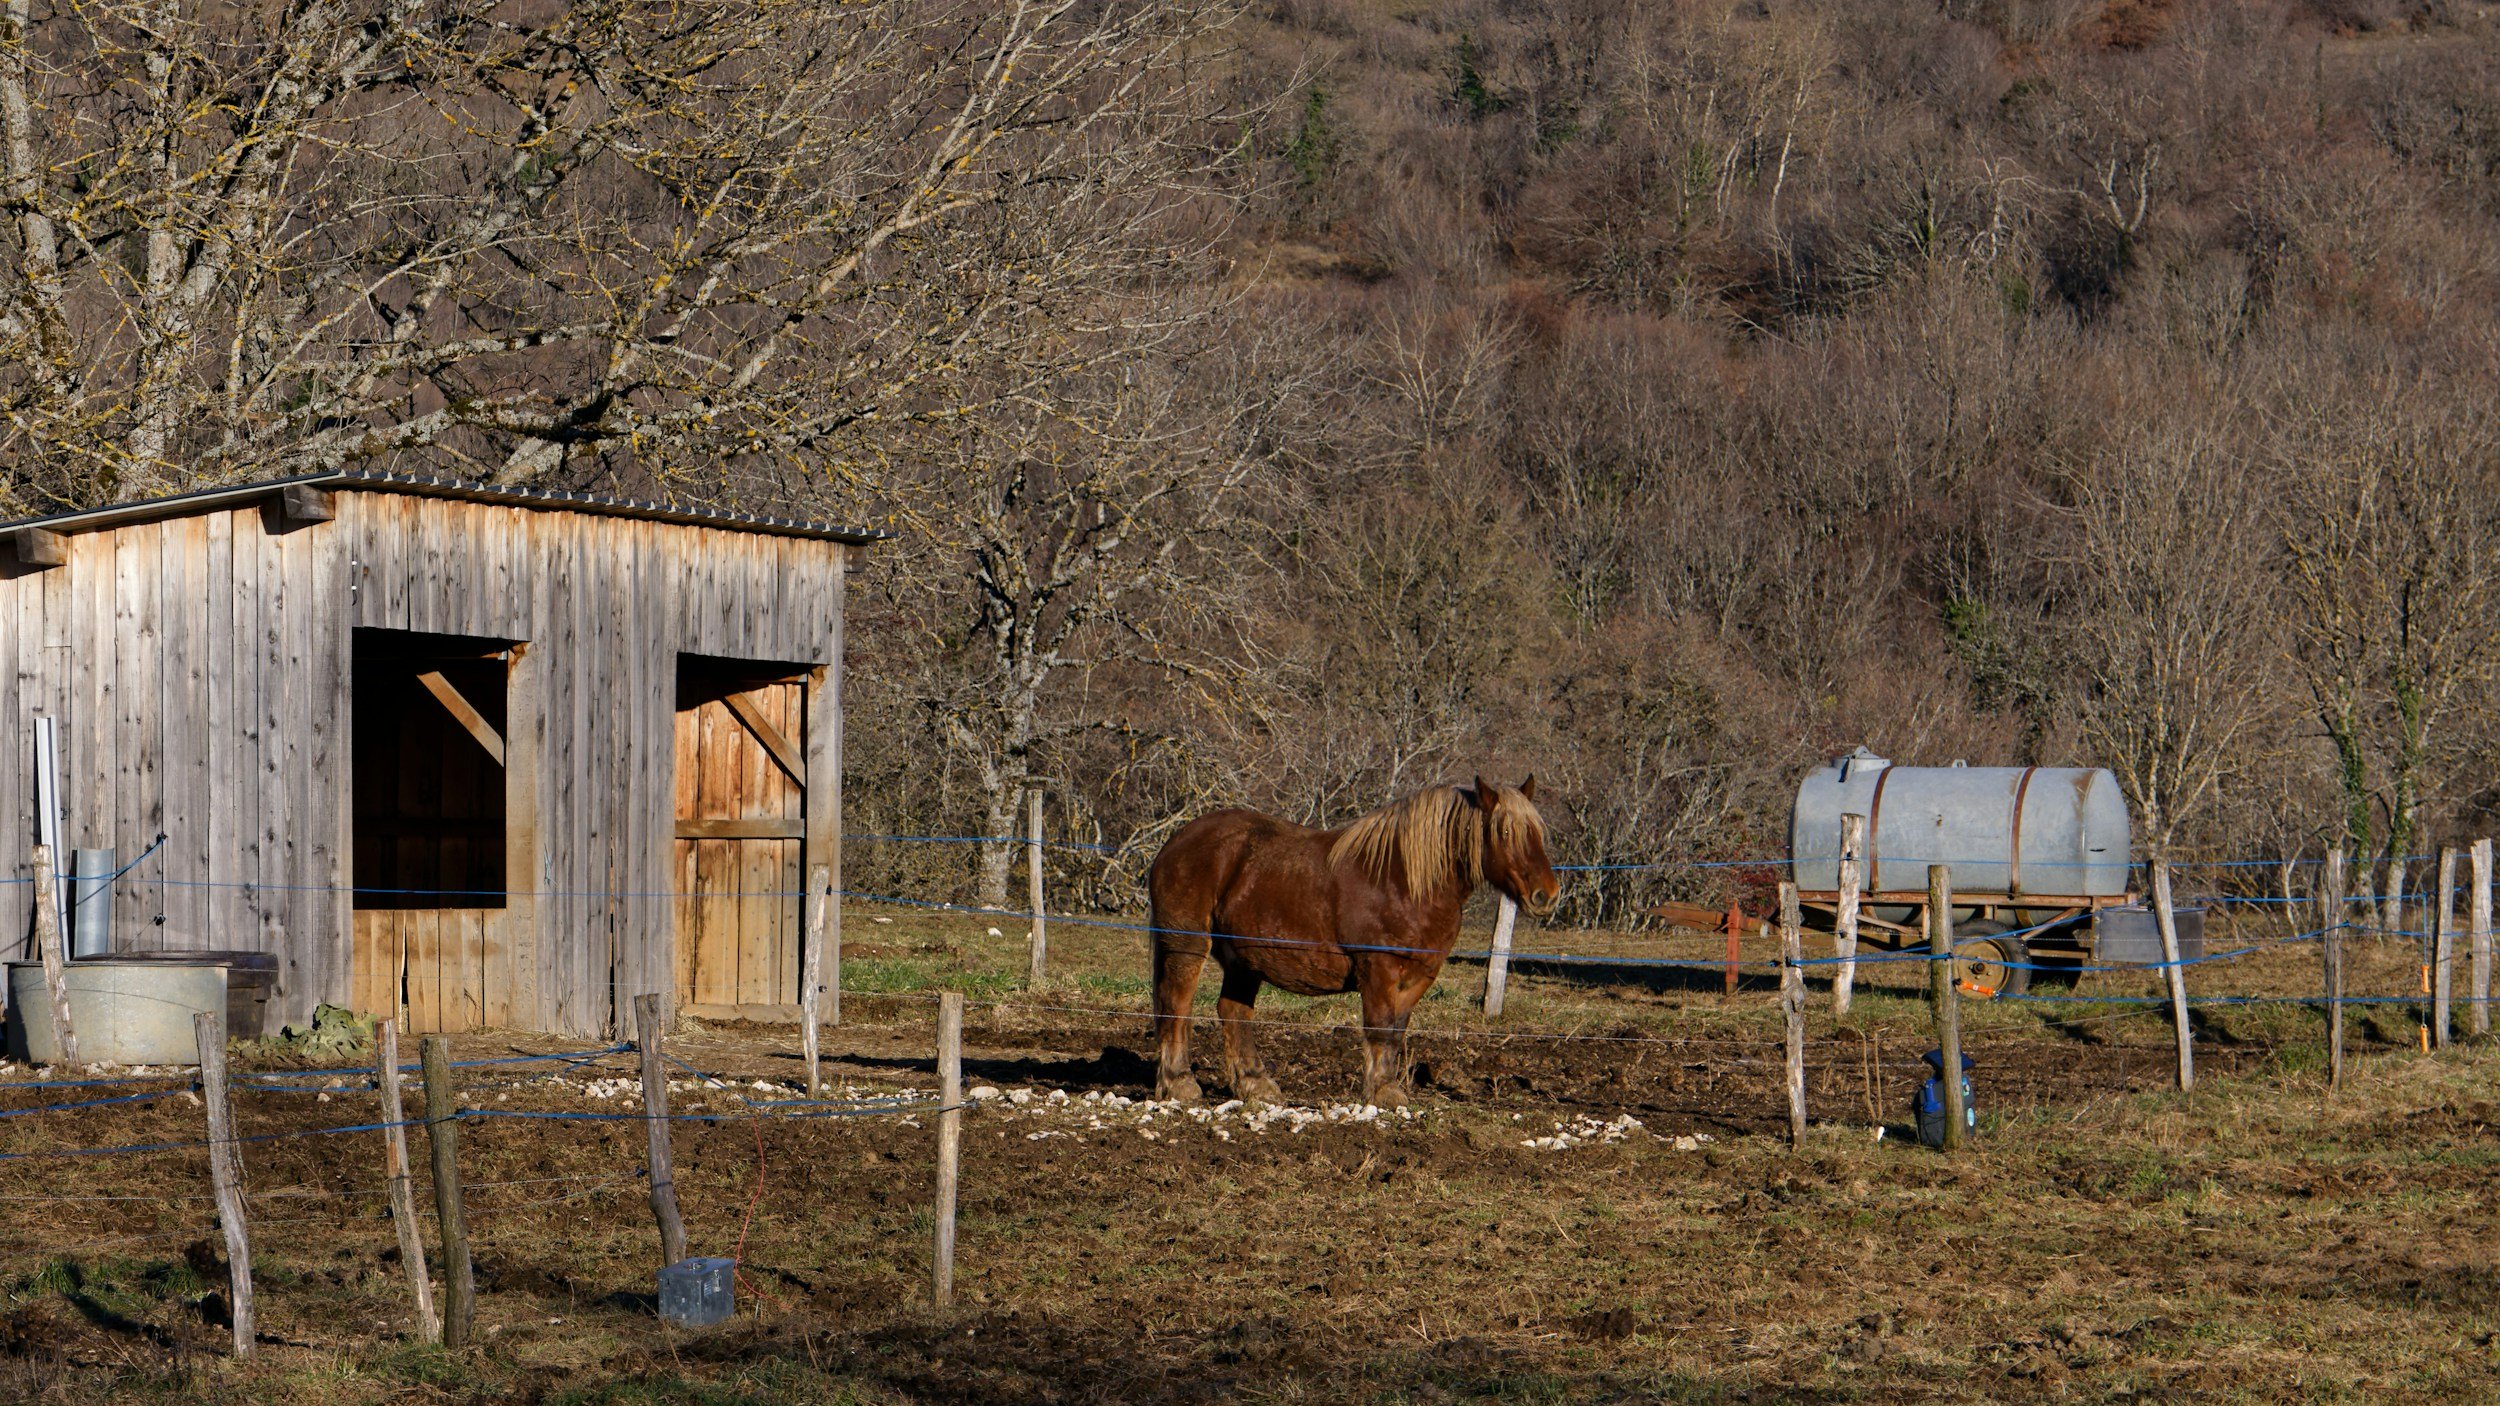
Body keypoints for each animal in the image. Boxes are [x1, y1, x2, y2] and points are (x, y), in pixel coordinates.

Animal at [1145, 776, 1560, 1108]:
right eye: (1504, 833)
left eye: (1538, 831)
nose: (1547, 895)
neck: (1403, 882)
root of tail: (1174, 843)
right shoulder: (1377, 968)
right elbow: (1378, 1028)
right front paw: (1382, 1092)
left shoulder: (1419, 976)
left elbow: (1396, 1031)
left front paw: (1388, 1088)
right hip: (1187, 946)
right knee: (1177, 1005)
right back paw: (1180, 1083)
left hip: (1243, 959)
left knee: (1233, 1012)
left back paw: (1255, 1084)